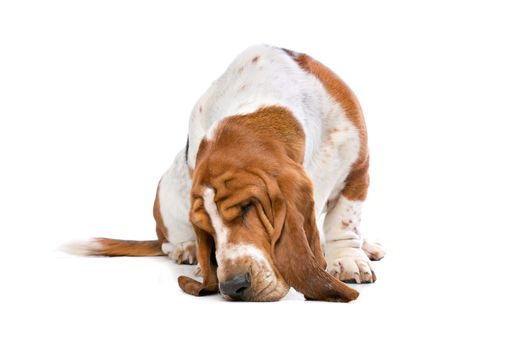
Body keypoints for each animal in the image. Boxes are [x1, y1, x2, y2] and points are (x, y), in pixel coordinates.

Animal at [66, 44, 384, 300]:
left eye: (247, 207)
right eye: (206, 227)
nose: (233, 286)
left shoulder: (358, 171)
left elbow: (343, 224)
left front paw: (348, 260)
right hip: (166, 194)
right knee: (167, 242)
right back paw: (186, 249)